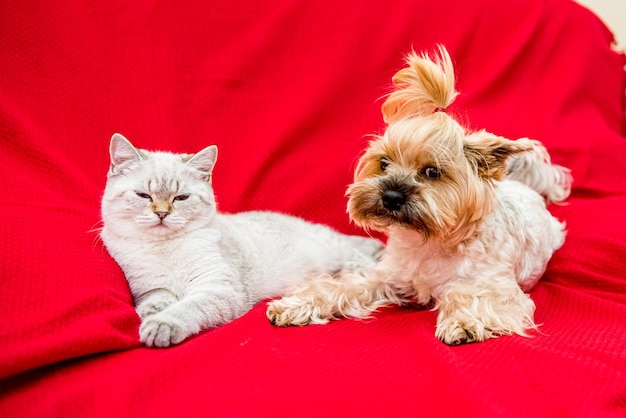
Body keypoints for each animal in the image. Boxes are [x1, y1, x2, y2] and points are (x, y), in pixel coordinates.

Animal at [100, 133, 382, 346]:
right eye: (143, 195)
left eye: (181, 198)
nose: (161, 213)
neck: (165, 248)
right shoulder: (148, 289)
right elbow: (156, 301)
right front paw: (153, 314)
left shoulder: (218, 288)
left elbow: (187, 308)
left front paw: (162, 325)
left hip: (336, 251)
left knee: (363, 264)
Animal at [266, 46, 568, 346]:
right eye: (383, 163)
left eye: (432, 171)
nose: (390, 196)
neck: (428, 242)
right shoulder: (384, 277)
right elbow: (341, 286)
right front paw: (295, 305)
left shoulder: (495, 286)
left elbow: (472, 296)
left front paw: (463, 322)